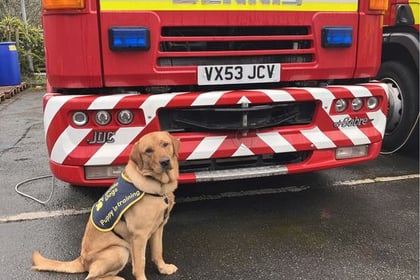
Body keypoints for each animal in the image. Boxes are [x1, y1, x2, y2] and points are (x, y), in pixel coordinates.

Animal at [31, 131, 179, 280]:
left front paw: (163, 268)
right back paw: (117, 278)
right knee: (91, 276)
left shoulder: (159, 228)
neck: (158, 186)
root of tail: (81, 260)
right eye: (148, 150)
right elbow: (140, 263)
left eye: (165, 144)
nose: (165, 161)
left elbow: (158, 251)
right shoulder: (139, 235)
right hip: (119, 250)